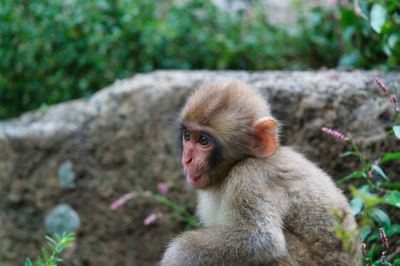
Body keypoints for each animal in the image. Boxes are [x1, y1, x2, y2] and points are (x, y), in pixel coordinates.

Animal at [161, 80, 360, 264]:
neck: (232, 169)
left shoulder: (251, 177)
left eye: (203, 140)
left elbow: (261, 239)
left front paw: (177, 255)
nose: (187, 159)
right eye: (187, 136)